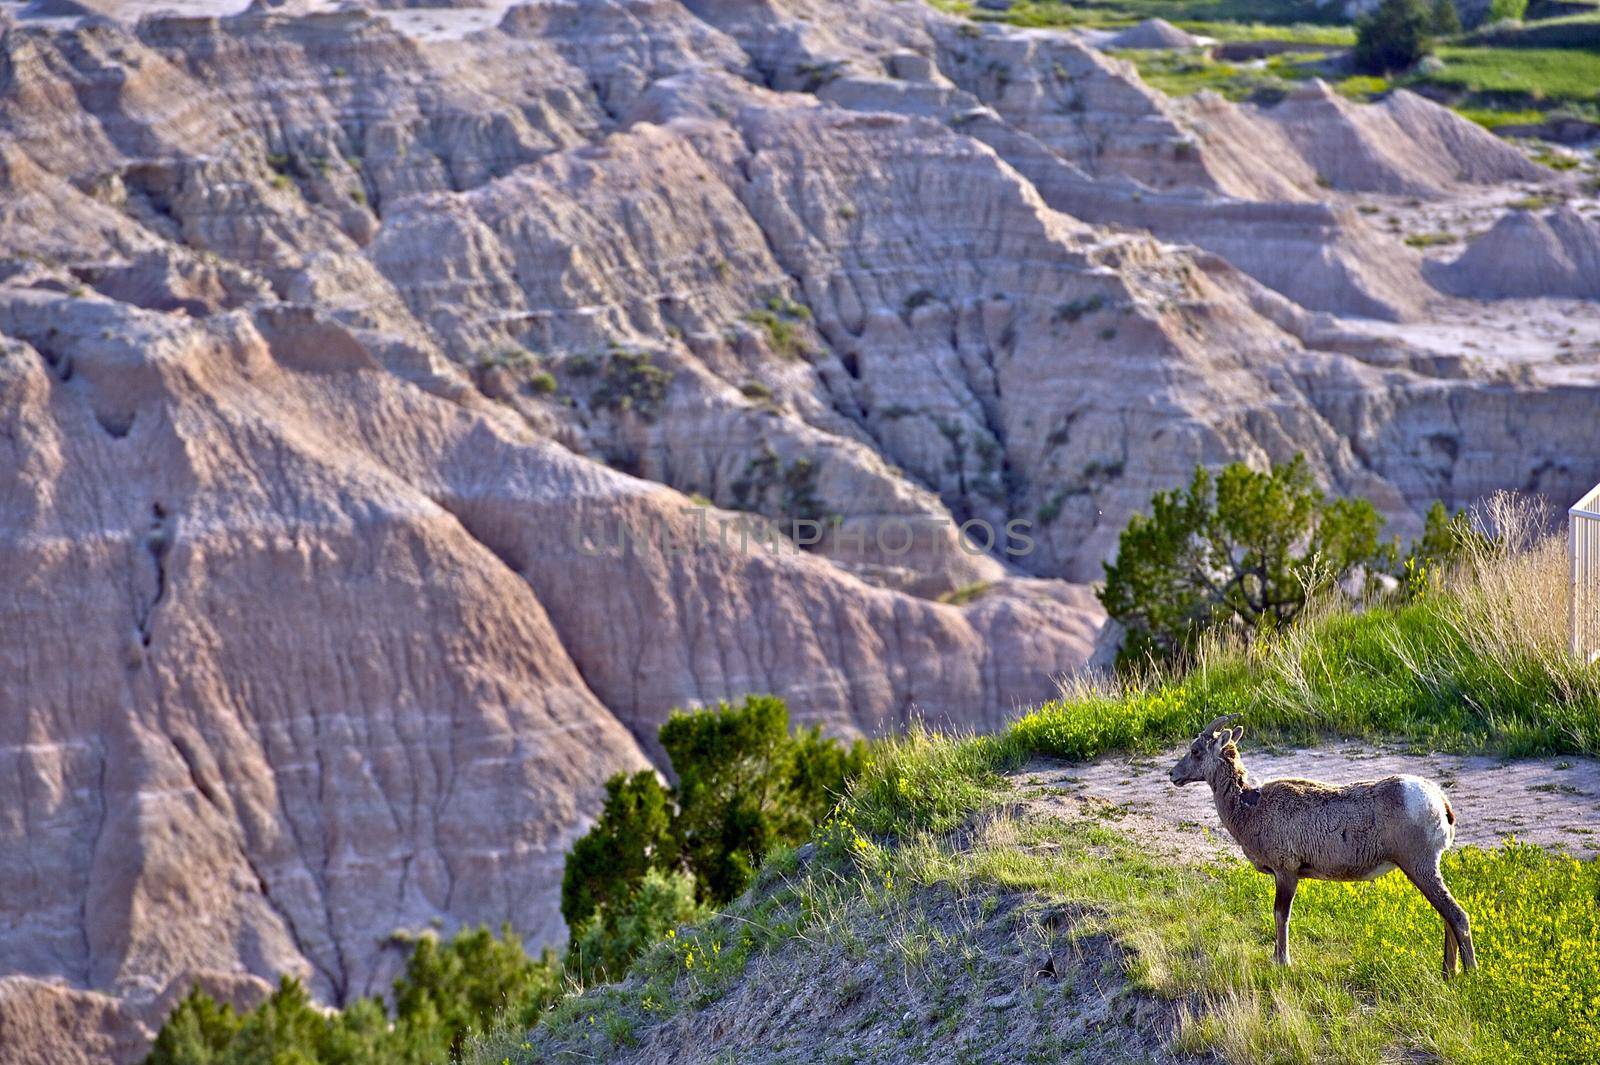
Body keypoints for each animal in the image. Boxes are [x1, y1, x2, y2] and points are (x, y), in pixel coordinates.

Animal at [1171, 713, 1478, 978]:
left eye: (1196, 751)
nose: (1173, 775)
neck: (1251, 807)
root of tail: (1440, 801)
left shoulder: (1286, 873)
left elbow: (1281, 915)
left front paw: (1282, 962)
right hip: (1424, 870)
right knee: (1447, 916)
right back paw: (1448, 973)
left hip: (1419, 866)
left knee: (1457, 915)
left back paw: (1470, 974)